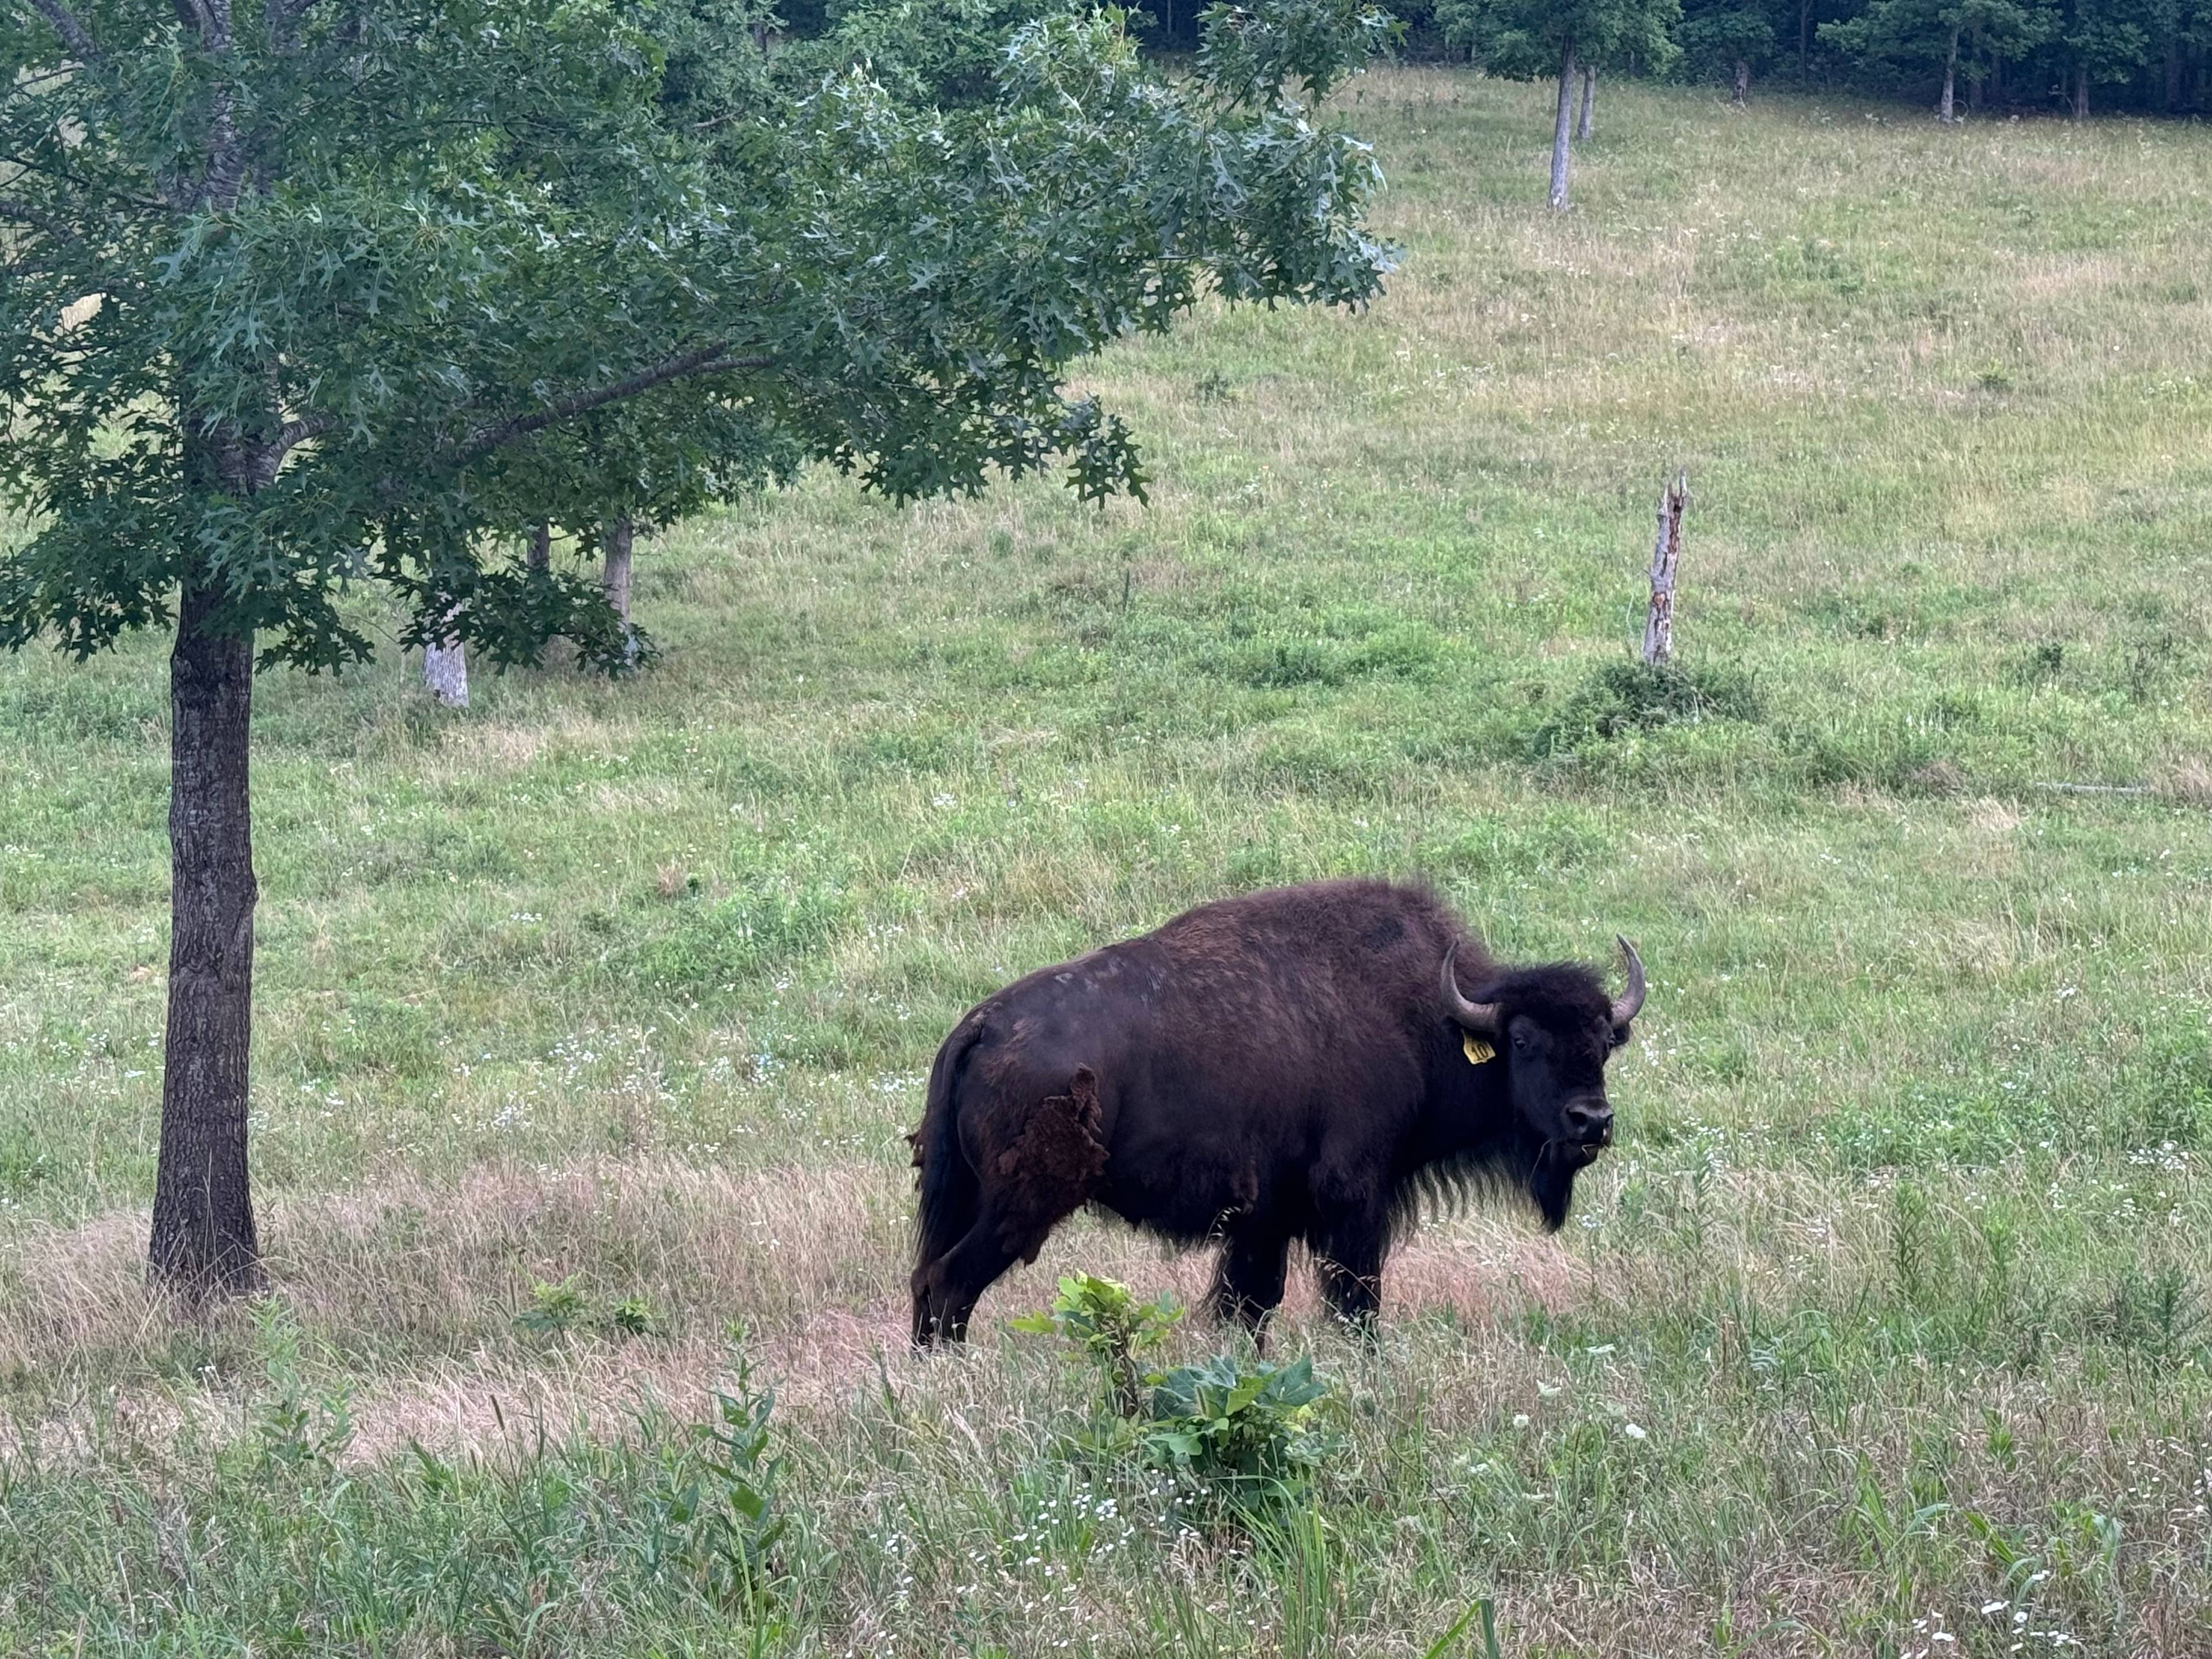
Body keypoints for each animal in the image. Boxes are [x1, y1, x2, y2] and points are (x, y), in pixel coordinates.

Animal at [907, 878, 1645, 1345]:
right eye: (1522, 1041)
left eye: (1605, 1042)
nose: (1591, 1121)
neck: (1426, 1021)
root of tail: (983, 1024)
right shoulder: (1354, 1205)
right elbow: (1356, 1305)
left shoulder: (1265, 1223)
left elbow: (1250, 1308)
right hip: (1022, 1204)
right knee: (950, 1284)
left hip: (968, 1196)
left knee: (927, 1282)